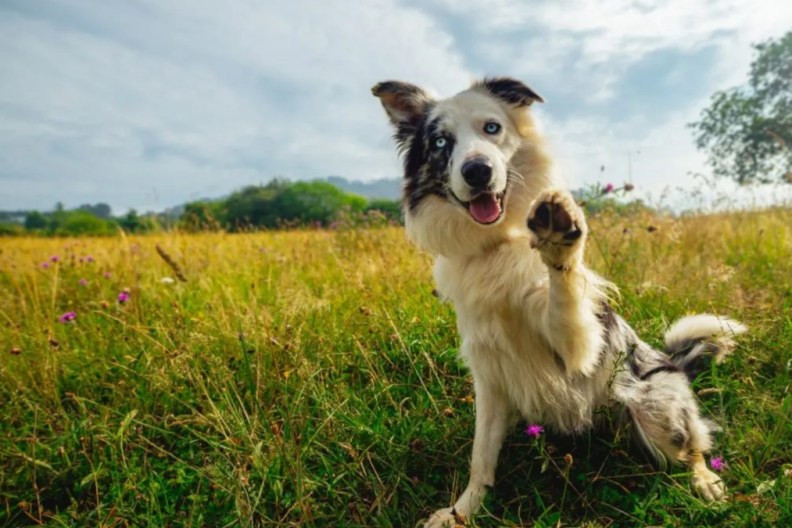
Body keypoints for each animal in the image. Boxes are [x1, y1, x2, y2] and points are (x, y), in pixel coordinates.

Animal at [372, 76, 744, 524]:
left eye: (492, 128)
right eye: (441, 142)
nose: (477, 171)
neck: (498, 244)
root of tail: (674, 364)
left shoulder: (577, 348)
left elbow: (564, 294)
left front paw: (560, 240)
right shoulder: (489, 374)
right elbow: (481, 457)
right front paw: (462, 512)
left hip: (653, 407)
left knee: (692, 447)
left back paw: (705, 481)